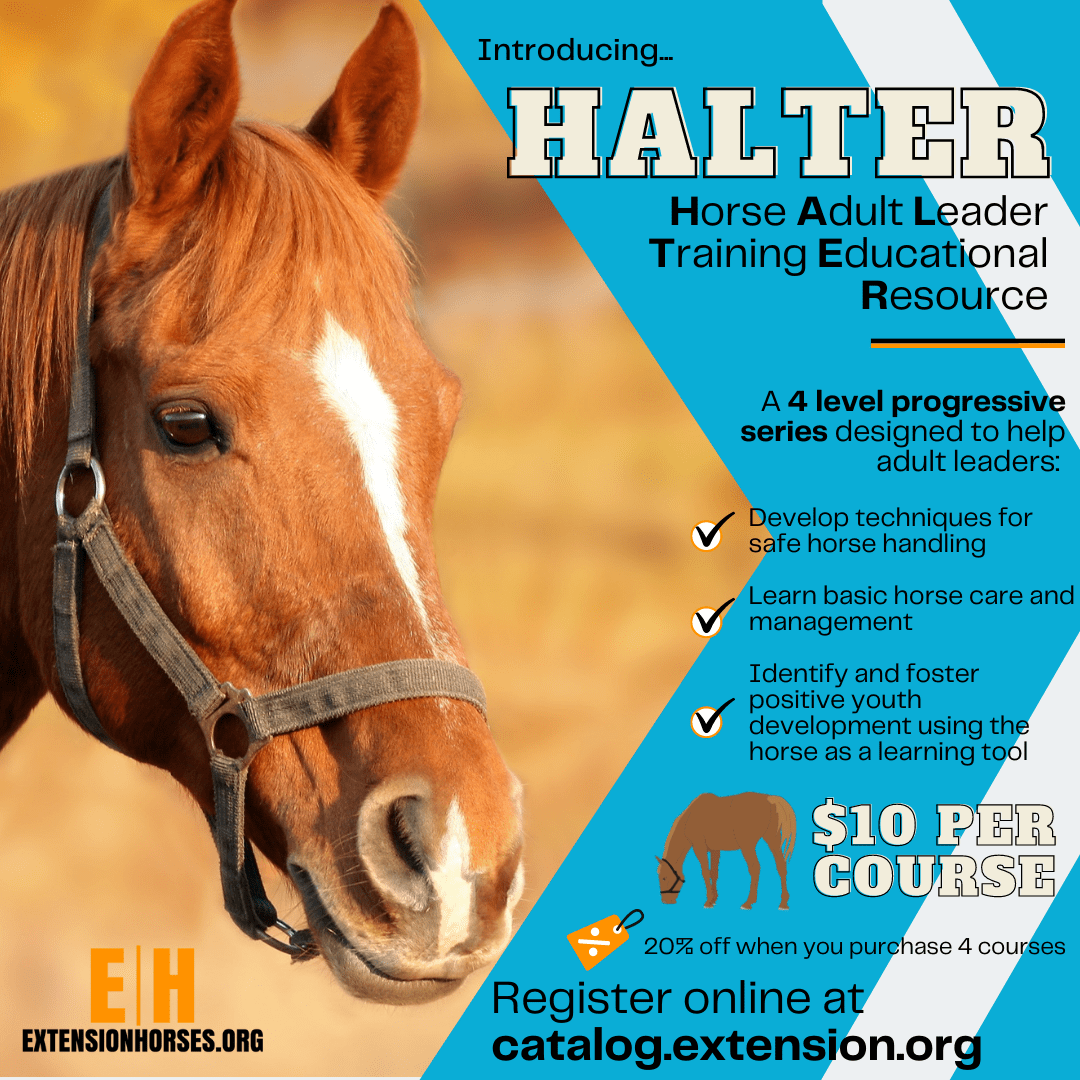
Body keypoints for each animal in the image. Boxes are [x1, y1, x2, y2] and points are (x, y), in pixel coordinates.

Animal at [657, 792, 795, 910]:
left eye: (664, 878)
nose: (665, 901)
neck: (690, 817)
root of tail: (769, 799)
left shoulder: (699, 847)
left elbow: (705, 872)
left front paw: (708, 901)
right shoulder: (715, 850)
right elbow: (713, 873)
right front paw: (714, 899)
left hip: (748, 846)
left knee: (755, 868)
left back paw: (748, 902)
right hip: (773, 840)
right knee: (781, 866)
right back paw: (783, 903)